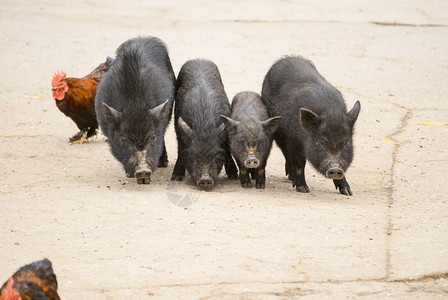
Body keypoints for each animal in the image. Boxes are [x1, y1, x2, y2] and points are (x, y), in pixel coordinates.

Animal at [96, 36, 175, 184]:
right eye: (125, 139)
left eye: (152, 137)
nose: (143, 170)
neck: (135, 104)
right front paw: (129, 175)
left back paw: (163, 163)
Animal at [170, 59, 238, 190]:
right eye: (194, 156)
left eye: (216, 155)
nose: (205, 179)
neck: (204, 124)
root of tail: (199, 59)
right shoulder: (178, 129)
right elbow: (180, 150)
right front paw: (175, 178)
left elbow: (227, 149)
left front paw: (233, 176)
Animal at [262, 55, 360, 195]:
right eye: (321, 142)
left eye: (346, 143)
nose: (335, 168)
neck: (330, 112)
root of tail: (286, 58)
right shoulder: (292, 141)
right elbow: (299, 164)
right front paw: (303, 189)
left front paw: (348, 192)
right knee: (286, 154)